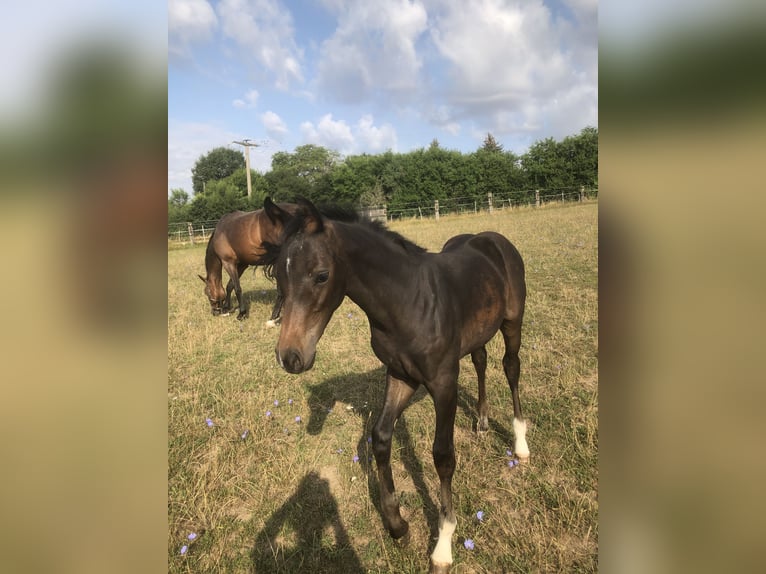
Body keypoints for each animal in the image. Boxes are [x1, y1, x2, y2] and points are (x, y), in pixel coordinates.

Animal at [260, 197, 532, 572]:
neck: (408, 302)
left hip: (512, 322)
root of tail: (492, 238)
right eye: (278, 276)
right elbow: (380, 438)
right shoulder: (401, 375)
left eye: (321, 275)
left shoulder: (443, 381)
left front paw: (443, 545)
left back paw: (520, 444)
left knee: (510, 368)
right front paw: (398, 525)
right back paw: (481, 422)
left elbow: (443, 455)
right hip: (479, 330)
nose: (290, 357)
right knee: (480, 360)